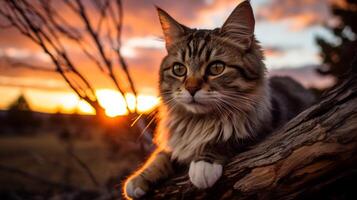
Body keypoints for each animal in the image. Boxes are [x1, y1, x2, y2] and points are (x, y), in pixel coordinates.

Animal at [124, 1, 312, 198]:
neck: (199, 123)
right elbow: (161, 156)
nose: (191, 89)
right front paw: (139, 179)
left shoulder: (263, 129)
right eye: (179, 69)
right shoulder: (174, 143)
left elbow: (227, 137)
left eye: (216, 68)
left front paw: (203, 165)